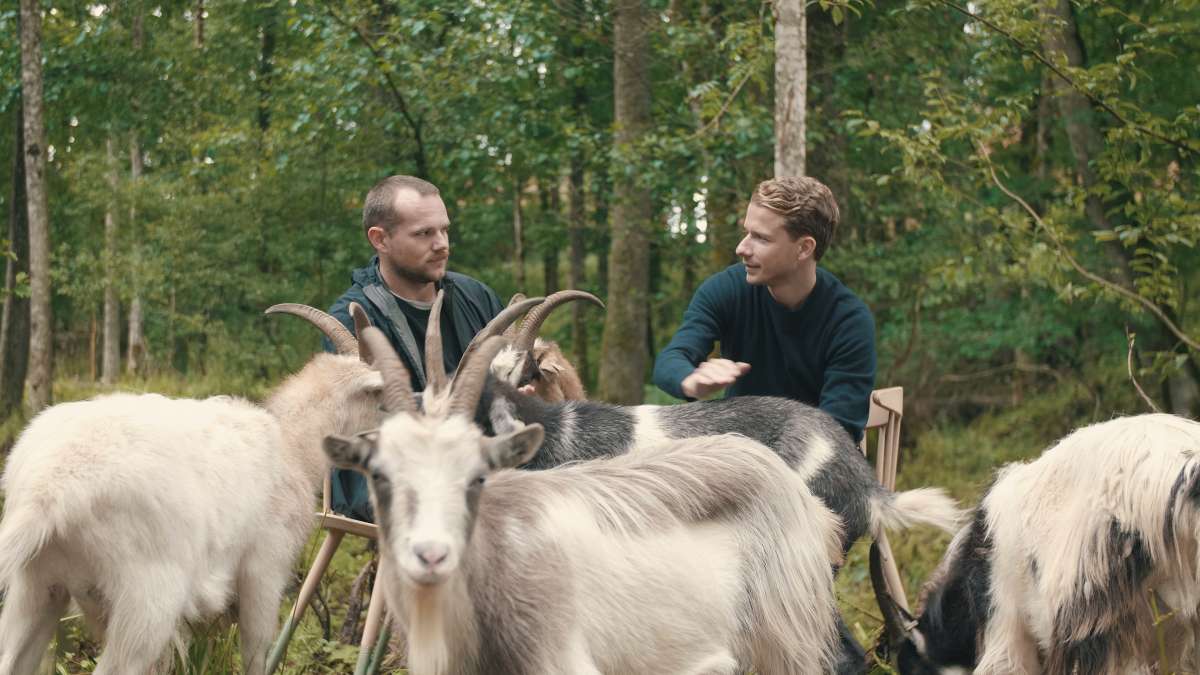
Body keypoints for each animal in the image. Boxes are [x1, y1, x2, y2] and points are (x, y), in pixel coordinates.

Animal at [0, 303, 379, 672]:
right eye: (381, 395)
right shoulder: (264, 573)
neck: (291, 445)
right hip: (147, 603)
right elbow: (256, 656)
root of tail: (50, 488)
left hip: (37, 588)